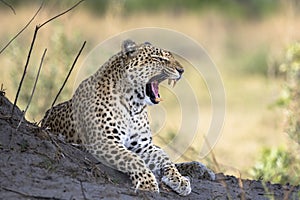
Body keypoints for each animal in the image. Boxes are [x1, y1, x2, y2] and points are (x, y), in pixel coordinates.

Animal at [41, 39, 216, 195]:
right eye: (159, 59)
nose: (182, 70)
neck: (134, 105)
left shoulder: (143, 146)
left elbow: (164, 158)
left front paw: (178, 179)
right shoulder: (104, 142)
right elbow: (133, 159)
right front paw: (148, 183)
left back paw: (201, 169)